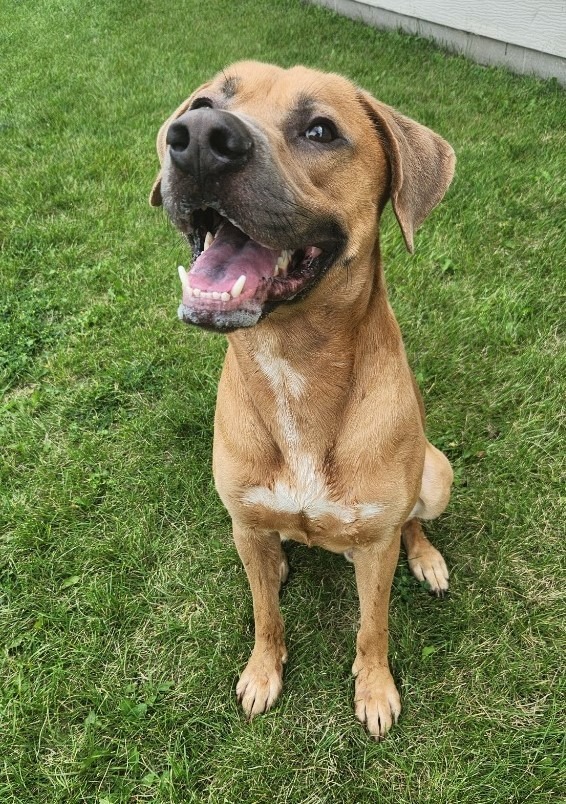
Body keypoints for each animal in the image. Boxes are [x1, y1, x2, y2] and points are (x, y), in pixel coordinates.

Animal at [151, 61, 458, 740]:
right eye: (204, 103)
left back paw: (425, 558)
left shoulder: (375, 548)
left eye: (321, 130)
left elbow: (374, 627)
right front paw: (263, 671)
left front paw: (375, 689)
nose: (199, 139)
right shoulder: (245, 517)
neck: (292, 362)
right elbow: (267, 614)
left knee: (413, 522)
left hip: (436, 474)